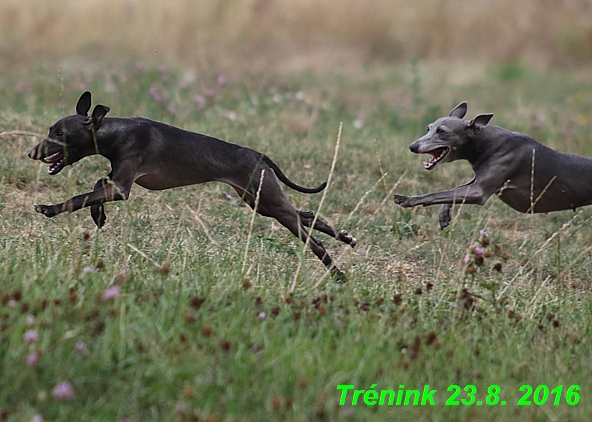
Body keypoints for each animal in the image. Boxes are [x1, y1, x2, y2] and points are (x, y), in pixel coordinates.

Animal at [27, 90, 356, 278]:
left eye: (60, 135)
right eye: (50, 129)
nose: (31, 153)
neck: (114, 130)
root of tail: (259, 155)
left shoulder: (121, 187)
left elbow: (80, 197)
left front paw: (50, 209)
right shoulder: (116, 180)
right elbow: (95, 187)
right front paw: (98, 216)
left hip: (270, 203)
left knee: (313, 240)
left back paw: (338, 274)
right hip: (260, 202)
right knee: (309, 215)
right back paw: (346, 238)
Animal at [394, 101, 592, 229]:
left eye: (441, 131)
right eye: (428, 128)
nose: (412, 147)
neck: (485, 142)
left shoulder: (480, 191)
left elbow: (437, 194)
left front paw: (408, 199)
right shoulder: (478, 181)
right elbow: (452, 191)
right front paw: (443, 216)